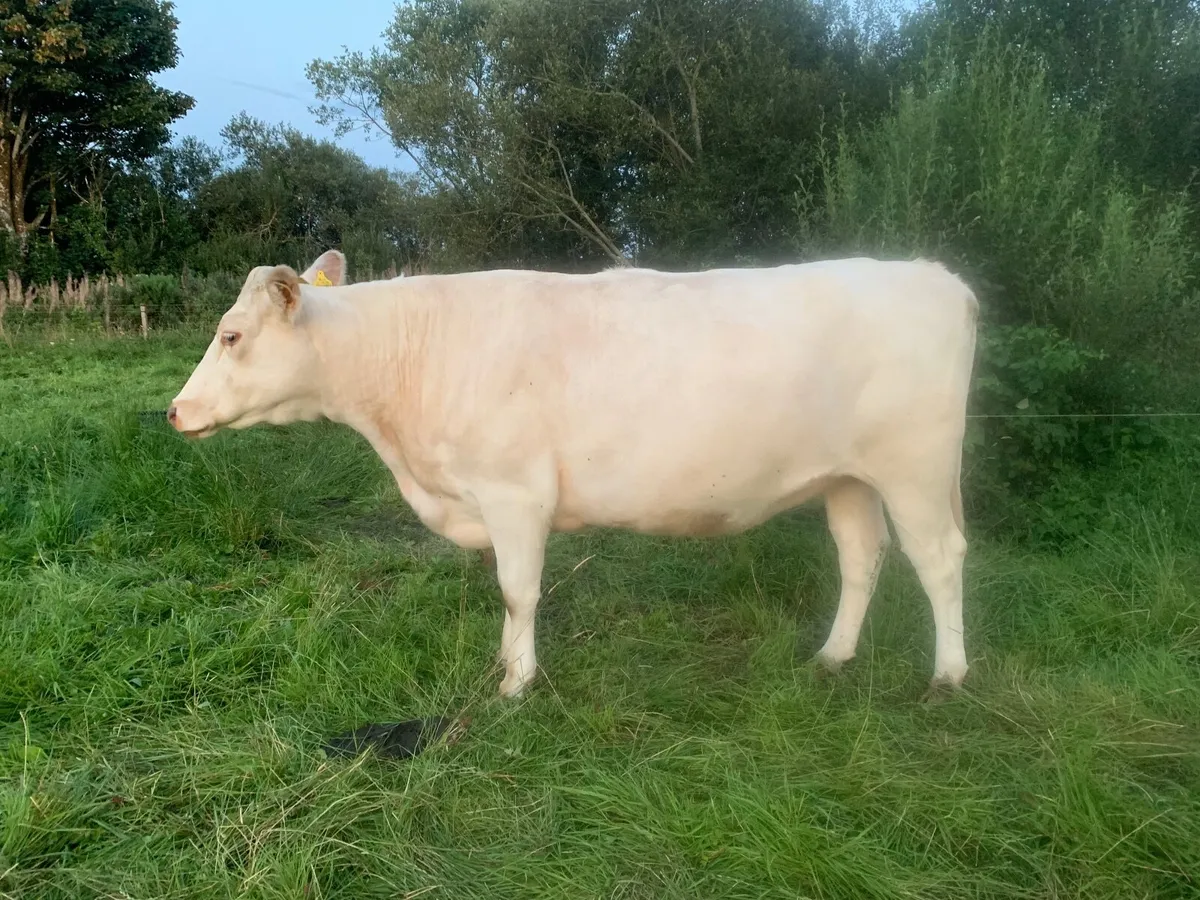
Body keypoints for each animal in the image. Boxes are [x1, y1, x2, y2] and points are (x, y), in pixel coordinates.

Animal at [169, 249, 979, 700]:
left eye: (231, 335)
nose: (176, 411)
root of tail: (934, 276)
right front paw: (508, 665)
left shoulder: (515, 493)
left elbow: (517, 592)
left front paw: (515, 683)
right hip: (848, 476)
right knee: (862, 557)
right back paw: (833, 657)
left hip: (914, 466)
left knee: (940, 559)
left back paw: (948, 676)